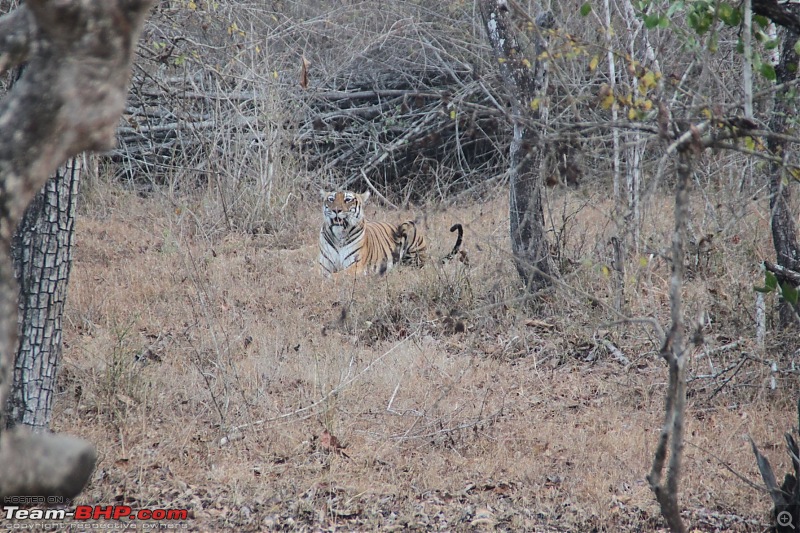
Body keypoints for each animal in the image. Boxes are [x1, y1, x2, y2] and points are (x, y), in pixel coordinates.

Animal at [318, 189, 462, 276]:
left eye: (348, 200)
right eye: (331, 199)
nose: (336, 210)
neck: (338, 236)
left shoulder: (356, 265)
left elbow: (337, 276)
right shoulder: (323, 265)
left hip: (409, 229)